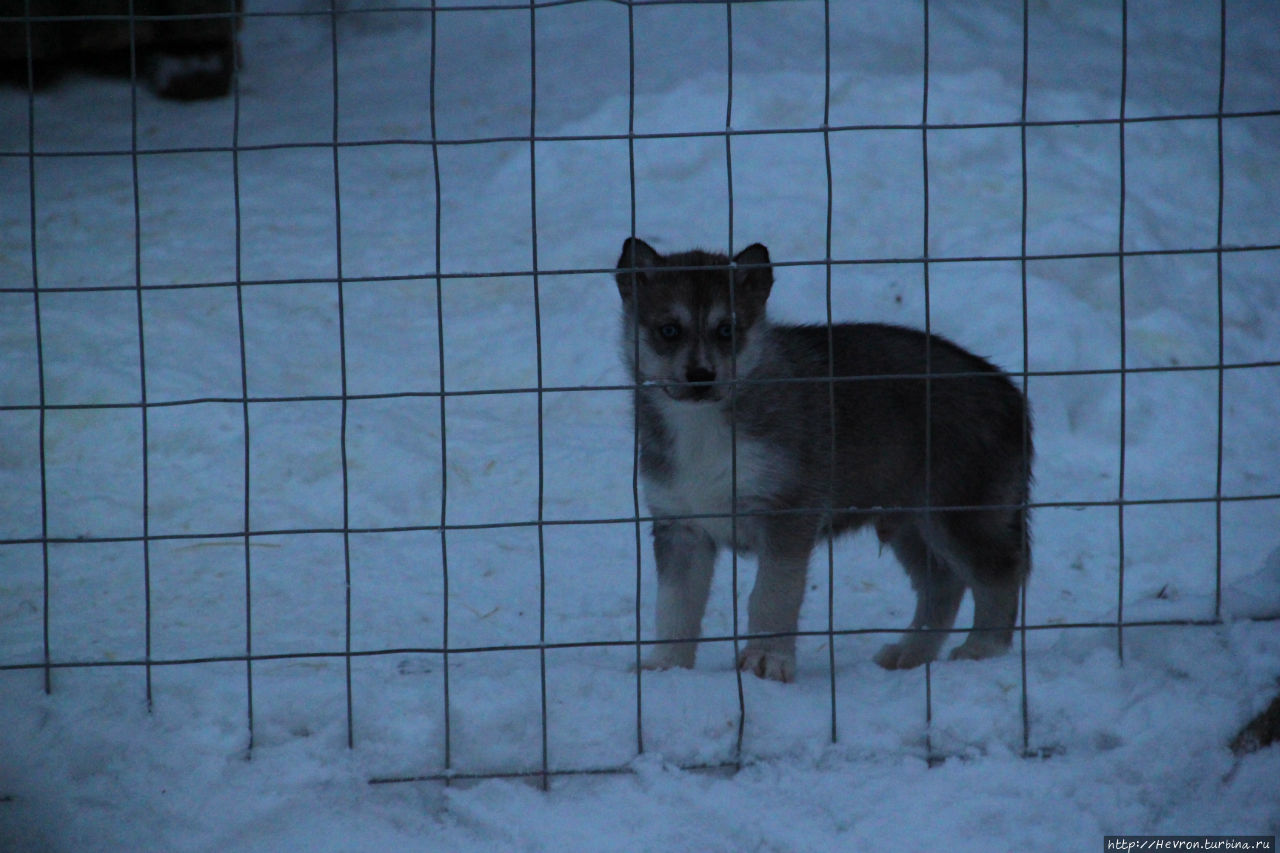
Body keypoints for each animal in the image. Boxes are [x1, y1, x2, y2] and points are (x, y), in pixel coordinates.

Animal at [616, 235, 1029, 681]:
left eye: (727, 329)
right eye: (668, 330)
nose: (700, 377)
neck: (702, 428)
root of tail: (1010, 391)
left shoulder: (787, 514)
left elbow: (771, 595)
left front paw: (766, 659)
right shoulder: (681, 523)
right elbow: (675, 606)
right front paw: (665, 666)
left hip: (960, 513)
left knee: (1000, 574)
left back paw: (983, 649)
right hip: (908, 521)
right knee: (943, 583)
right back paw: (910, 653)